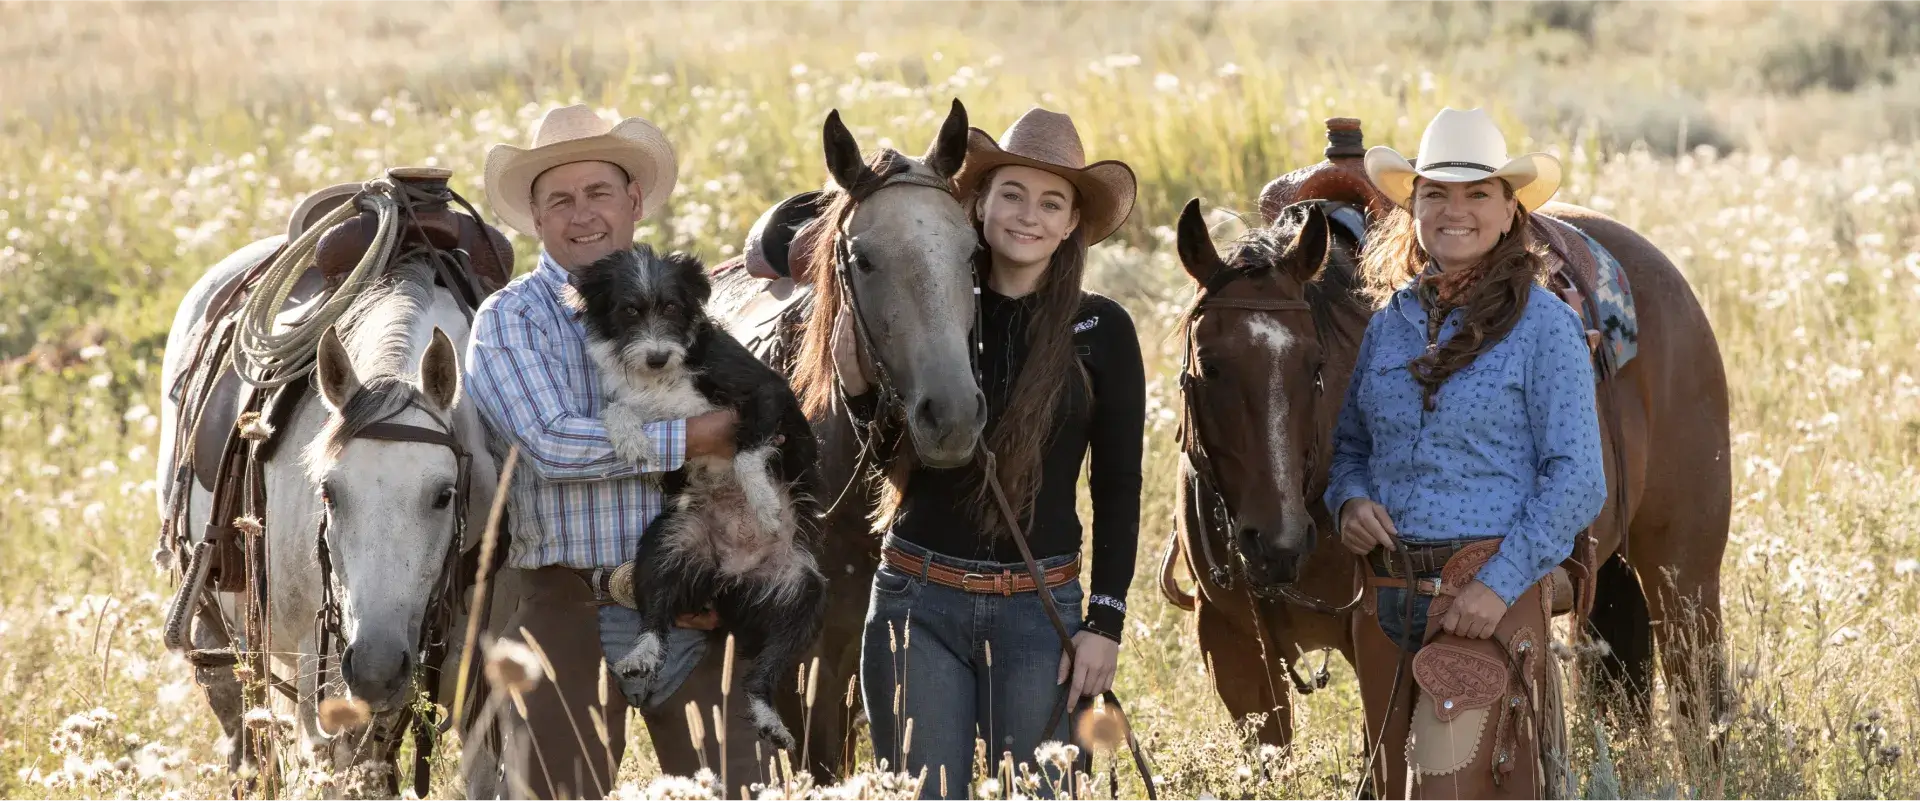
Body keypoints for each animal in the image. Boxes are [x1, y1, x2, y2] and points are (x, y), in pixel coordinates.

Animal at [560, 243, 817, 749]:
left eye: (673, 307)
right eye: (629, 310)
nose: (657, 357)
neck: (664, 377)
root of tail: (730, 576)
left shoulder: (767, 392)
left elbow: (746, 451)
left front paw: (763, 504)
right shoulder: (651, 426)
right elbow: (618, 411)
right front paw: (632, 442)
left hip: (803, 594)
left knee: (763, 672)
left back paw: (769, 719)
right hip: (668, 543)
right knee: (656, 616)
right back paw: (642, 654)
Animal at [1159, 162, 1735, 749]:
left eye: (1316, 365)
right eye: (1208, 365)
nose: (1278, 542)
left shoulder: (1376, 636)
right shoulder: (1233, 648)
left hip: (1684, 574)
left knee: (1699, 697)